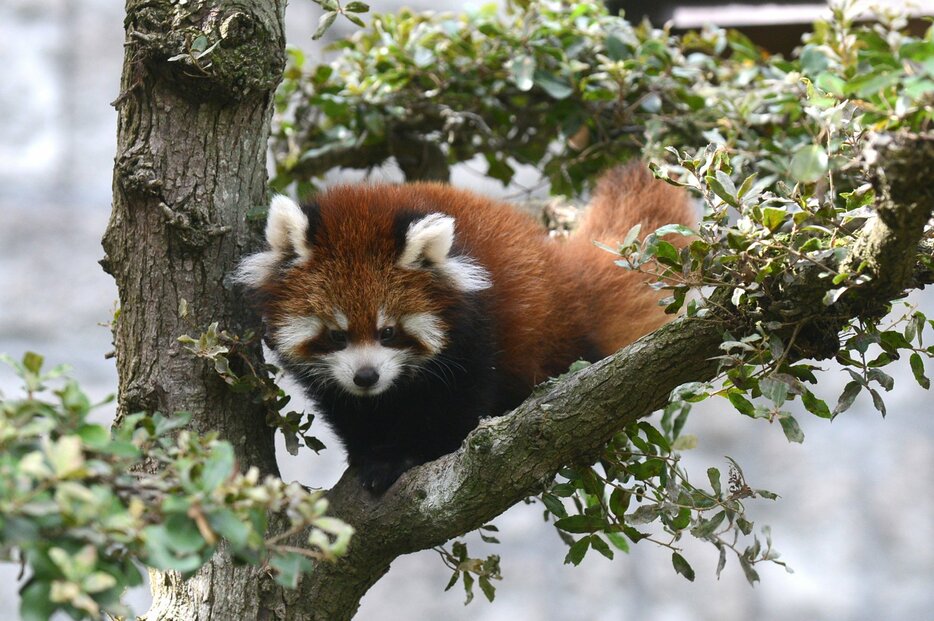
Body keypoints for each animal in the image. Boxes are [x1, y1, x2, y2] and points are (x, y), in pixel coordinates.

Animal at [238, 162, 696, 492]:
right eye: (337, 335)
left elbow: (457, 406)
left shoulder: (474, 334)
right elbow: (347, 408)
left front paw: (407, 456)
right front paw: (371, 454)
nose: (366, 377)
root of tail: (566, 274)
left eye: (388, 332)